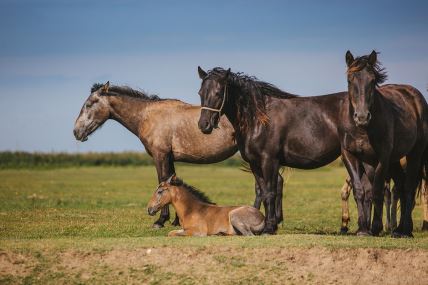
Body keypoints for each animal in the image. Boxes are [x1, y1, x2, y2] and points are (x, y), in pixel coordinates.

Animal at [73, 81, 284, 226]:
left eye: (90, 103)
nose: (76, 132)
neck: (148, 116)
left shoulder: (160, 155)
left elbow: (163, 180)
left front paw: (160, 220)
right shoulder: (170, 157)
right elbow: (172, 180)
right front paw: (174, 220)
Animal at [342, 50, 428, 235]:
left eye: (372, 80)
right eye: (350, 80)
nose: (362, 117)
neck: (363, 129)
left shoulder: (382, 158)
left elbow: (376, 191)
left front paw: (375, 227)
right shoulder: (351, 156)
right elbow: (360, 190)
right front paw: (362, 228)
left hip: (414, 155)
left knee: (408, 187)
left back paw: (405, 230)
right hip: (395, 161)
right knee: (400, 187)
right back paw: (398, 229)